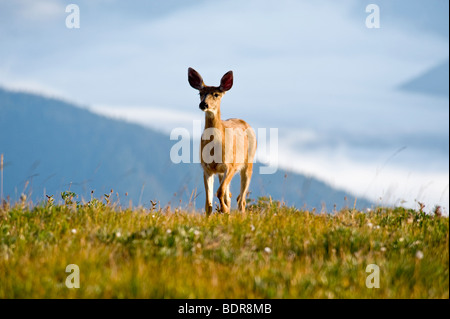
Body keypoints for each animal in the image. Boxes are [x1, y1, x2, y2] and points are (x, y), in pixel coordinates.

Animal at [187, 68, 256, 216]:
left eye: (216, 94)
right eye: (200, 93)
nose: (203, 104)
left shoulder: (230, 165)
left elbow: (219, 192)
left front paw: (224, 209)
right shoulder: (206, 168)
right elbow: (208, 203)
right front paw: (215, 214)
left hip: (248, 163)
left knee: (241, 199)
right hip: (221, 172)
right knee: (230, 195)